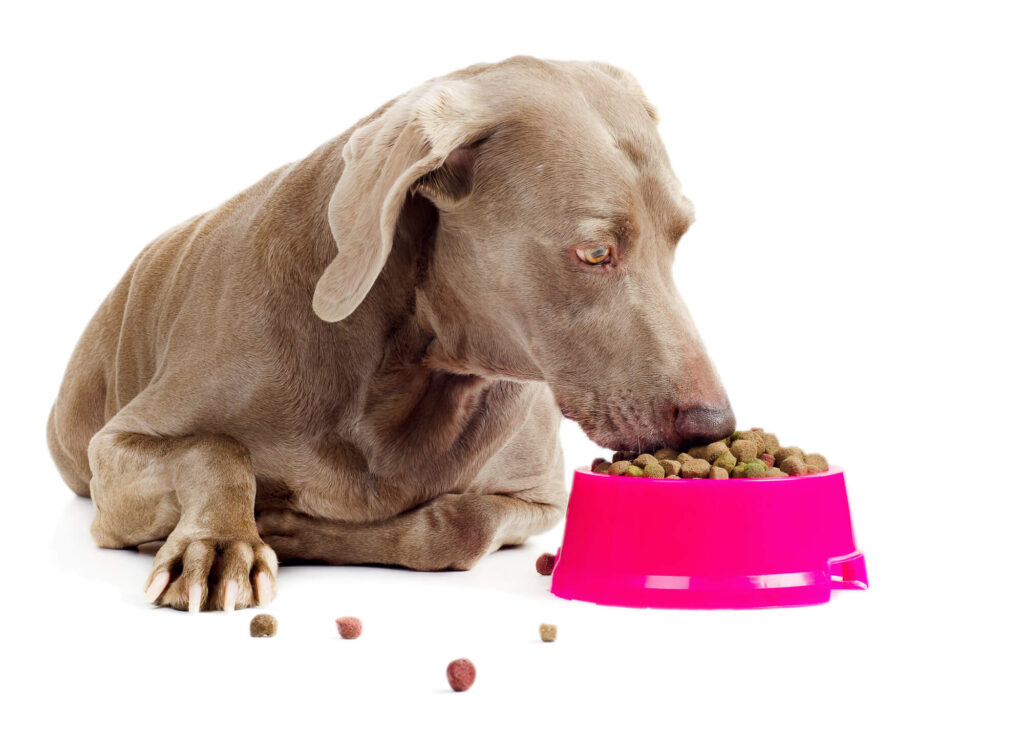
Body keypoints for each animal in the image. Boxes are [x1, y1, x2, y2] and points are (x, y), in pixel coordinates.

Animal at [49, 55, 737, 614]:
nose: (713, 425)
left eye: (680, 235)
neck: (408, 373)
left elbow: (464, 522)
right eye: (595, 252)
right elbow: (212, 448)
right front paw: (221, 541)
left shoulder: (542, 495)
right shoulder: (118, 452)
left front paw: (292, 526)